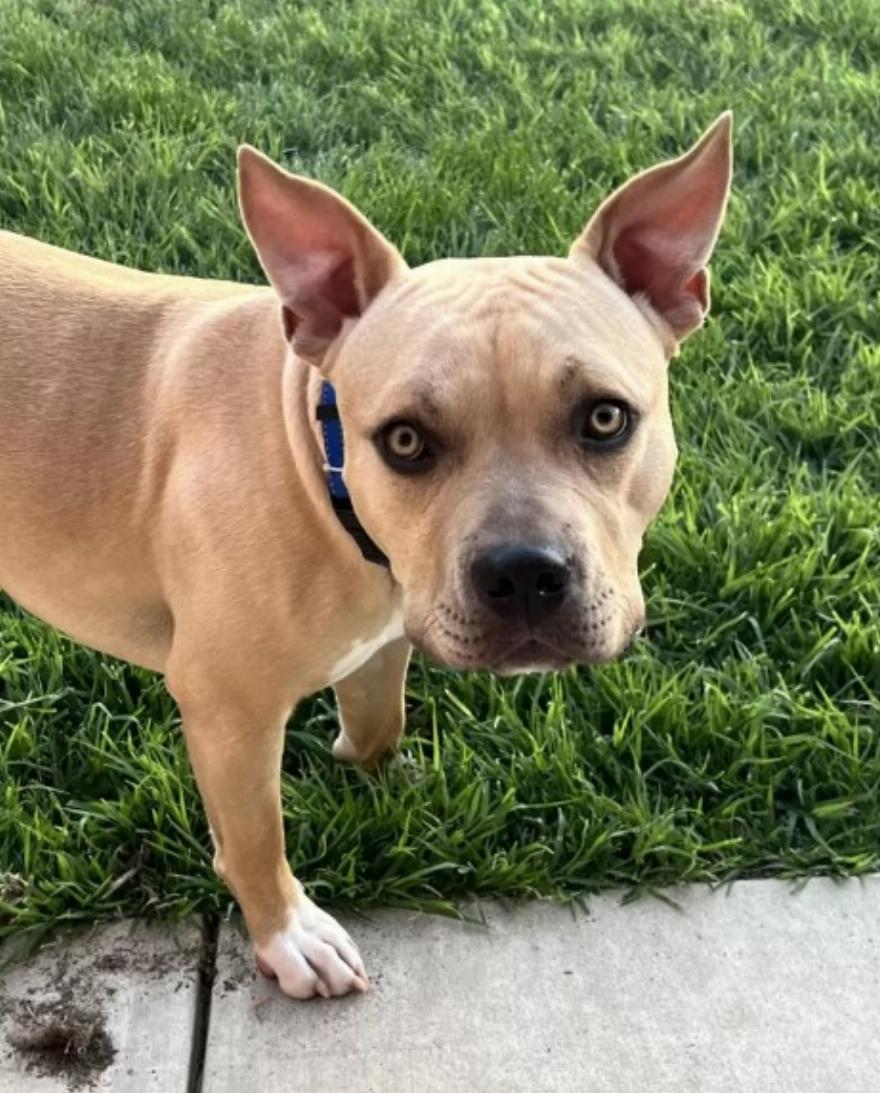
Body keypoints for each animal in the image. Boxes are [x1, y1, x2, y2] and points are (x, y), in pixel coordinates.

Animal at [0, 114, 732, 999]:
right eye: (406, 440)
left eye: (604, 418)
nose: (524, 573)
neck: (321, 463)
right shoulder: (226, 708)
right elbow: (255, 838)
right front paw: (288, 934)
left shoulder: (383, 638)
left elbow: (381, 722)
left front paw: (378, 779)